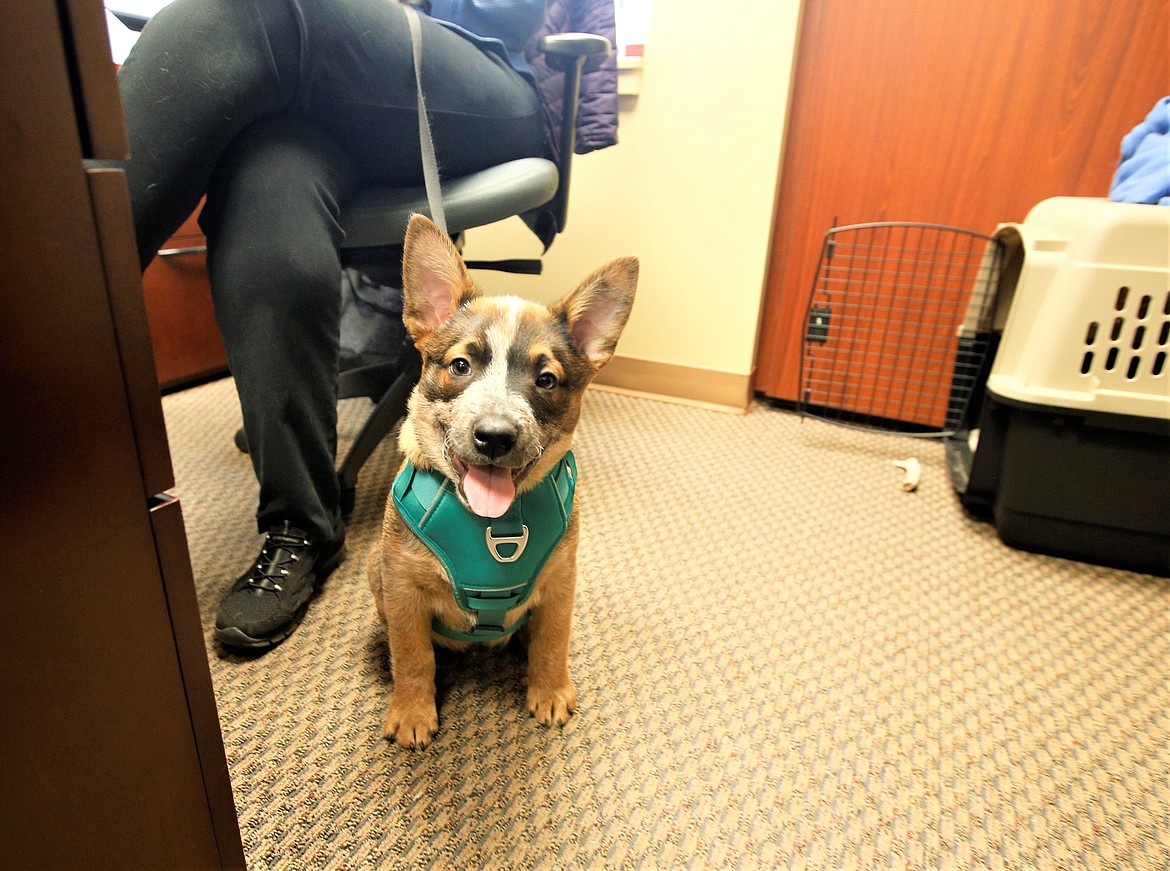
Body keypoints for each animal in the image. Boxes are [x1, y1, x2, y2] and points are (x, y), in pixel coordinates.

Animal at [367, 216, 636, 749]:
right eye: (460, 365)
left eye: (546, 379)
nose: (494, 436)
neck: (494, 520)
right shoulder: (402, 586)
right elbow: (412, 656)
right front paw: (411, 711)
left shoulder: (561, 580)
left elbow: (552, 643)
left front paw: (549, 691)